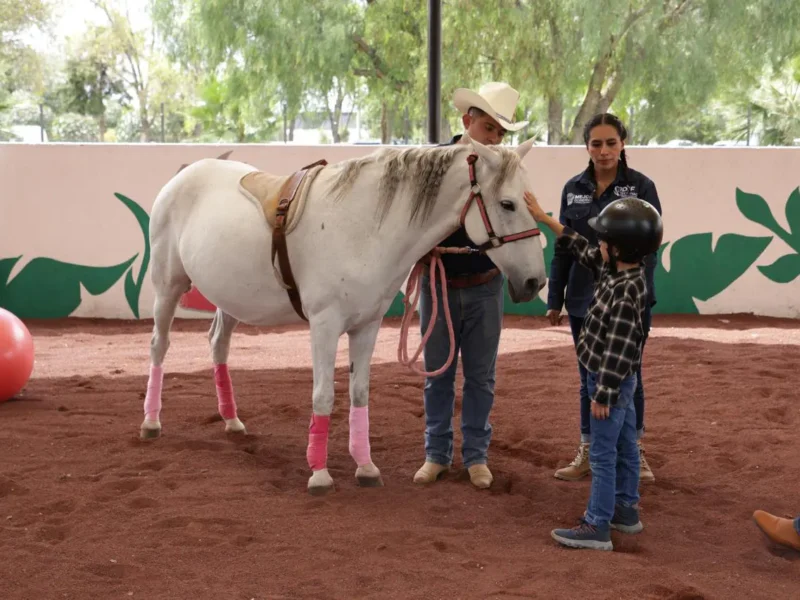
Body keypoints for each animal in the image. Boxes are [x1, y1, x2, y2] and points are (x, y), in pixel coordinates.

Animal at [141, 134, 548, 494]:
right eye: (508, 204)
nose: (535, 282)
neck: (363, 227)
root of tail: (186, 172)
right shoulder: (324, 325)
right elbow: (323, 396)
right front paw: (319, 474)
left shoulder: (366, 326)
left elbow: (359, 393)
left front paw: (366, 467)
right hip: (168, 285)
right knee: (159, 345)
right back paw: (151, 422)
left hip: (231, 298)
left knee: (218, 344)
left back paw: (231, 420)